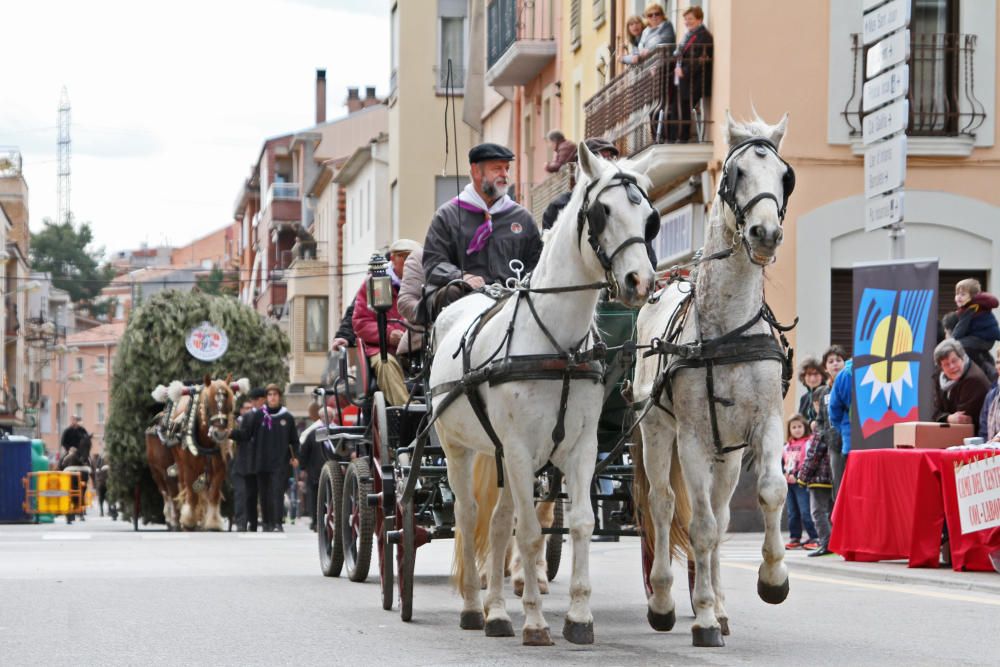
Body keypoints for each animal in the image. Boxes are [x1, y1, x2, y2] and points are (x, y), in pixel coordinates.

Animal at [170, 376, 238, 532]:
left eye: (229, 405)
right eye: (207, 404)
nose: (219, 434)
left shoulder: (220, 468)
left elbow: (213, 493)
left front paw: (212, 522)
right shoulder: (189, 467)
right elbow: (192, 493)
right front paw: (189, 520)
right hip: (180, 462)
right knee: (183, 485)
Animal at [430, 145, 656, 648]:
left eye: (649, 217)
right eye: (602, 211)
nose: (640, 281)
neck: (558, 345)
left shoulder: (580, 448)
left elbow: (579, 523)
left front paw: (579, 617)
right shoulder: (518, 449)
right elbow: (531, 534)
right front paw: (534, 623)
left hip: (498, 455)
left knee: (497, 524)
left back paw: (496, 611)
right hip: (459, 450)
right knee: (468, 517)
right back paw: (474, 607)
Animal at [632, 113, 796, 648]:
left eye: (784, 176)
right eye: (735, 174)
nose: (765, 233)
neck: (727, 332)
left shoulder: (765, 426)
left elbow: (770, 493)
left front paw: (773, 579)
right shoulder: (692, 438)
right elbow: (698, 525)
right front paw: (700, 616)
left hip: (727, 454)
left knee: (722, 516)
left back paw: (720, 604)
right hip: (658, 433)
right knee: (663, 507)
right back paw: (665, 601)